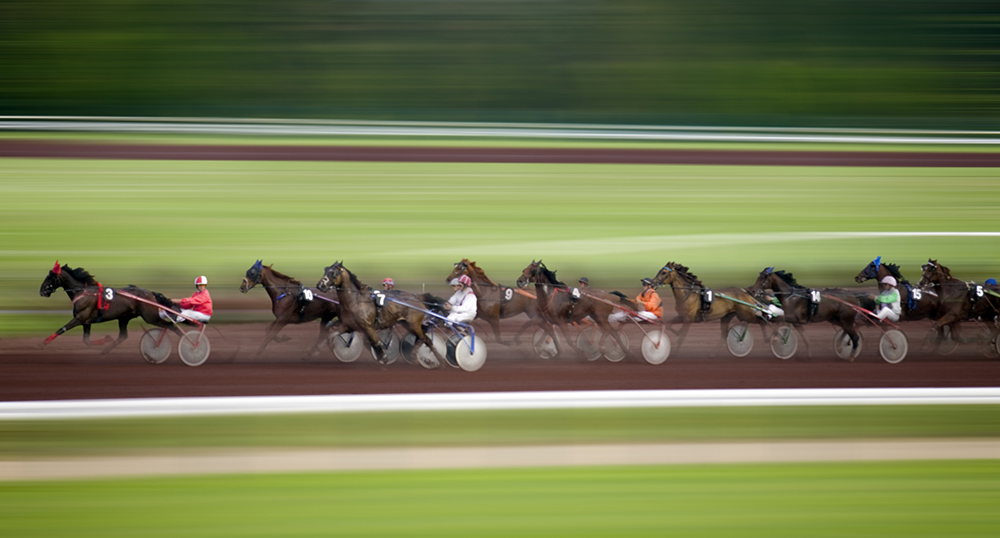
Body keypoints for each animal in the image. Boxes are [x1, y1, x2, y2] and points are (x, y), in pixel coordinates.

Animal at [37, 260, 182, 352]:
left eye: (50, 276)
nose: (42, 290)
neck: (82, 292)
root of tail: (151, 293)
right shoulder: (86, 321)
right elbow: (86, 340)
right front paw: (104, 341)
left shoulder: (80, 318)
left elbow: (62, 329)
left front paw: (42, 343)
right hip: (124, 317)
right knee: (123, 336)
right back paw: (106, 351)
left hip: (151, 317)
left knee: (172, 326)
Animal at [316, 260, 450, 364]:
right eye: (325, 269)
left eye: (333, 272)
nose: (319, 285)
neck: (356, 301)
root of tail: (417, 297)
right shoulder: (348, 325)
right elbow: (330, 331)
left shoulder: (369, 328)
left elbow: (378, 345)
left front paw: (384, 360)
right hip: (407, 325)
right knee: (425, 340)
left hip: (414, 324)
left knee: (425, 340)